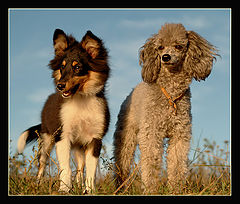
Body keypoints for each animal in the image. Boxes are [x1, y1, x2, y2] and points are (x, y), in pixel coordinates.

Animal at [17, 28, 110, 193]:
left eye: (77, 67)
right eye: (62, 67)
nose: (60, 86)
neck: (81, 100)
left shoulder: (95, 138)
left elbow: (90, 170)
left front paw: (89, 191)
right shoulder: (63, 135)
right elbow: (65, 168)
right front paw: (64, 189)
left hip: (79, 146)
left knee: (80, 167)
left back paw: (79, 186)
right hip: (47, 140)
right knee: (42, 164)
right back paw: (38, 185)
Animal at [113, 23, 218, 194]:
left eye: (178, 46)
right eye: (160, 47)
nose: (166, 57)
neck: (171, 95)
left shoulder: (180, 135)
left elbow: (176, 165)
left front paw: (175, 189)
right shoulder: (151, 134)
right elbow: (151, 164)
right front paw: (150, 190)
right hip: (126, 137)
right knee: (122, 163)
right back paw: (120, 188)